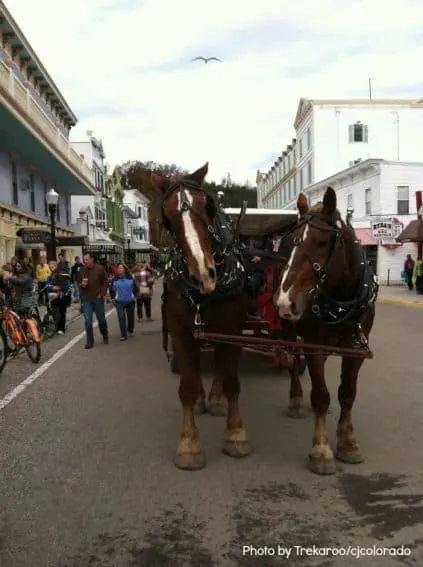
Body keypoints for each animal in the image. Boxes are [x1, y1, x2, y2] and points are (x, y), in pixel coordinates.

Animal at [152, 163, 252, 470]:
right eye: (167, 217)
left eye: (206, 206)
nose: (203, 275)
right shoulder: (180, 329)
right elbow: (186, 385)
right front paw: (188, 444)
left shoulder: (231, 328)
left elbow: (231, 381)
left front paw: (235, 434)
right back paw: (200, 400)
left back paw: (216, 400)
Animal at [274, 186, 378, 474]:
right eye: (291, 241)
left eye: (321, 243)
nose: (285, 301)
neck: (341, 298)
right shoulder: (314, 345)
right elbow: (321, 395)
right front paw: (321, 450)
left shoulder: (356, 348)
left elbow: (347, 393)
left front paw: (347, 441)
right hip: (290, 333)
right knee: (292, 361)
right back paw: (296, 400)